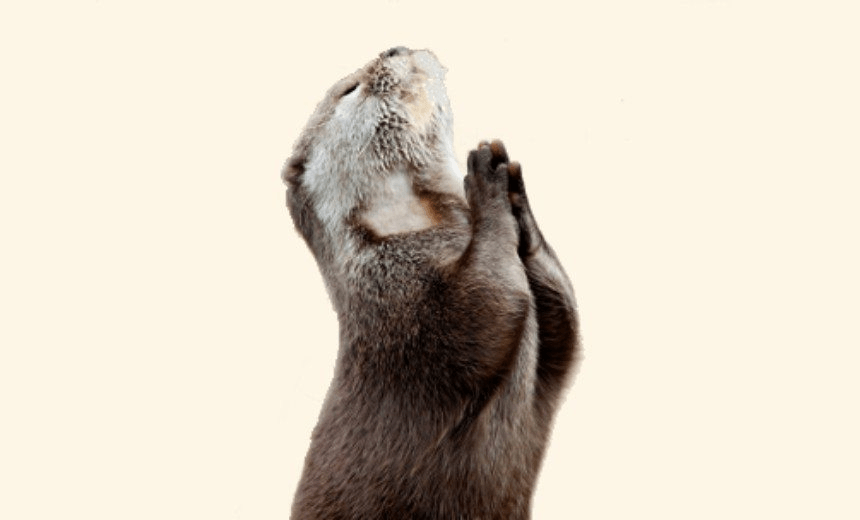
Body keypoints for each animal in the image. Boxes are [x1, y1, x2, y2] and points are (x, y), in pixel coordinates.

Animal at [282, 46, 580, 519]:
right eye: (350, 89)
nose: (393, 49)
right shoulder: (398, 301)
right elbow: (485, 306)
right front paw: (485, 180)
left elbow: (565, 326)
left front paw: (516, 194)